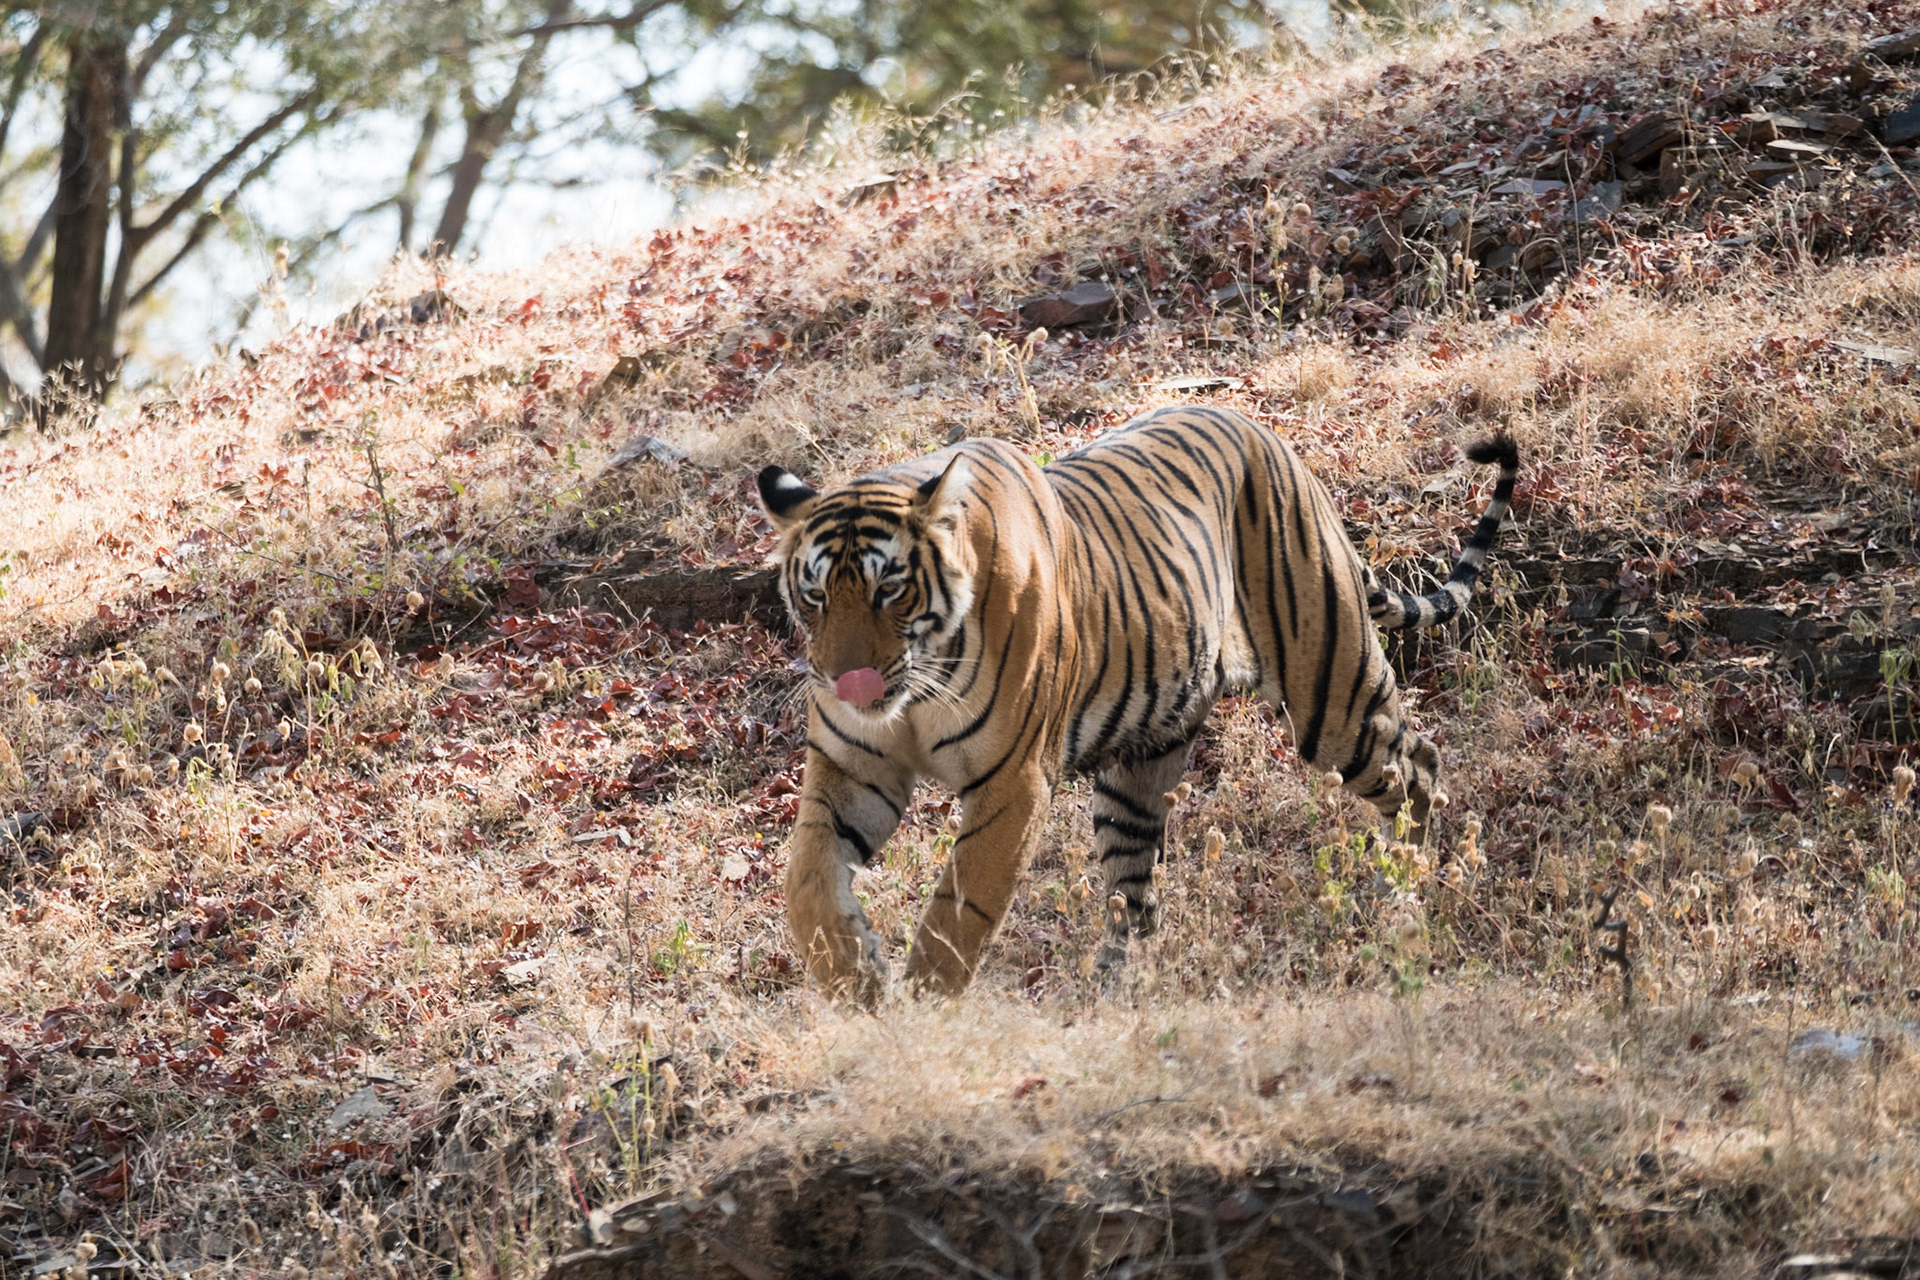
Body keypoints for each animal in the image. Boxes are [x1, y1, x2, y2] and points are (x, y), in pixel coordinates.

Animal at [755, 404, 1518, 1003]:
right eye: (816, 595)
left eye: (889, 589)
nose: (848, 683)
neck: (914, 696)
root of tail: (1270, 436)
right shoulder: (854, 769)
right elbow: (807, 883)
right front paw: (855, 981)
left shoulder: (1012, 783)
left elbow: (961, 903)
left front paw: (922, 1006)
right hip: (1141, 762)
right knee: (1135, 892)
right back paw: (1114, 986)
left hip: (1332, 693)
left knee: (1418, 763)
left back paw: (1407, 892)